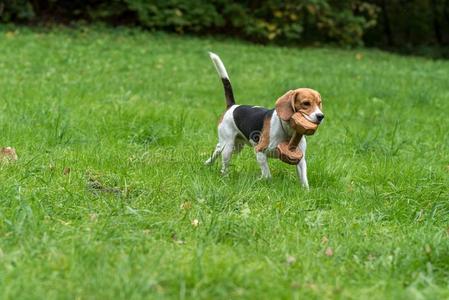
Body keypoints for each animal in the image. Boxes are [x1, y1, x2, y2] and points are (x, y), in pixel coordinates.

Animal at [203, 51, 322, 188]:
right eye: (306, 103)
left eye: (319, 103)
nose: (321, 116)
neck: (288, 131)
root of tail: (232, 106)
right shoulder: (259, 151)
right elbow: (267, 174)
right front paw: (261, 180)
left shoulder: (300, 159)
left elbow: (304, 179)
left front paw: (306, 190)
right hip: (228, 145)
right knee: (224, 163)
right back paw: (224, 177)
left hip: (235, 146)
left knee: (217, 149)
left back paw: (208, 163)